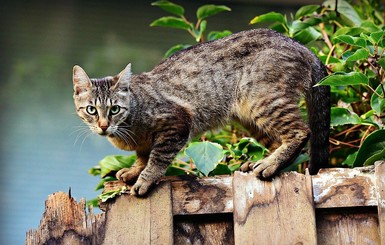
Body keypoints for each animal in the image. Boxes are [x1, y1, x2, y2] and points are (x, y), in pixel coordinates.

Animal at [73, 28, 330, 196]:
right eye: (91, 110)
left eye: (115, 109)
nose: (103, 125)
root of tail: (303, 47)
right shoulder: (145, 143)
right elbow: (143, 156)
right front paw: (134, 171)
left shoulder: (177, 123)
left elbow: (157, 158)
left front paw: (145, 179)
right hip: (249, 117)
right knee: (278, 140)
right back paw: (261, 162)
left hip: (263, 101)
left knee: (301, 132)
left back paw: (269, 164)